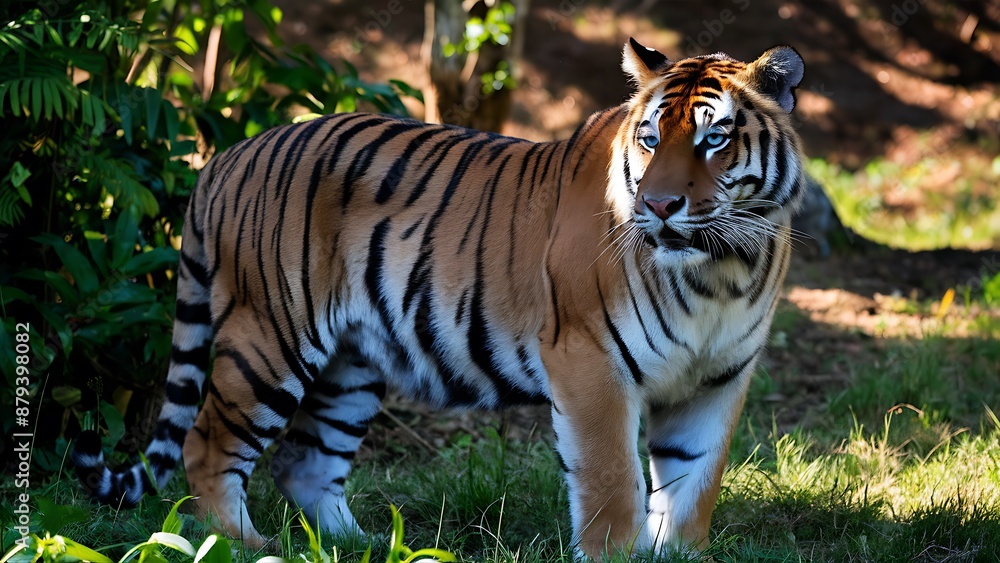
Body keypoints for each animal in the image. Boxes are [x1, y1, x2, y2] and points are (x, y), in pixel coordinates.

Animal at [73, 38, 805, 559]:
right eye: (651, 139)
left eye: (714, 138)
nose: (657, 205)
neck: (722, 266)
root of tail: (226, 155)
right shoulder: (590, 362)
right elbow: (610, 483)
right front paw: (616, 554)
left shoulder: (717, 379)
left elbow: (692, 487)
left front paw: (681, 552)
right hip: (270, 337)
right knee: (206, 443)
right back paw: (242, 544)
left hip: (351, 362)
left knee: (304, 462)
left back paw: (362, 546)